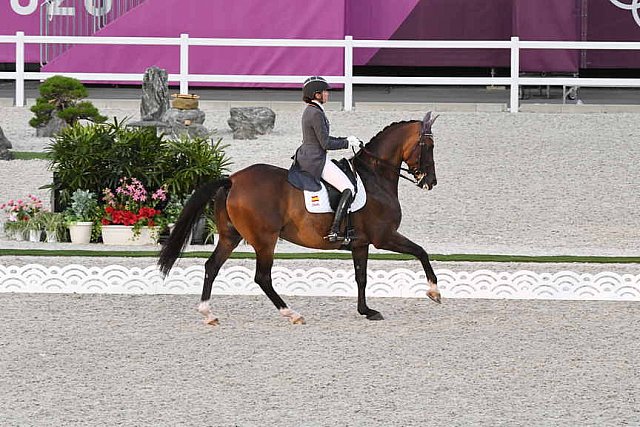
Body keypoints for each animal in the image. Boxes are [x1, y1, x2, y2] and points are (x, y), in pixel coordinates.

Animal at [159, 112, 440, 326]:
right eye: (429, 146)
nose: (431, 182)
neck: (375, 177)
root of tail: (232, 180)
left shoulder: (361, 243)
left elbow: (361, 277)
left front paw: (366, 311)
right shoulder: (384, 237)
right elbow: (421, 252)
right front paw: (434, 291)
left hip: (231, 236)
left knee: (212, 267)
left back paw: (208, 314)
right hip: (265, 240)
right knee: (262, 277)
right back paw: (292, 314)